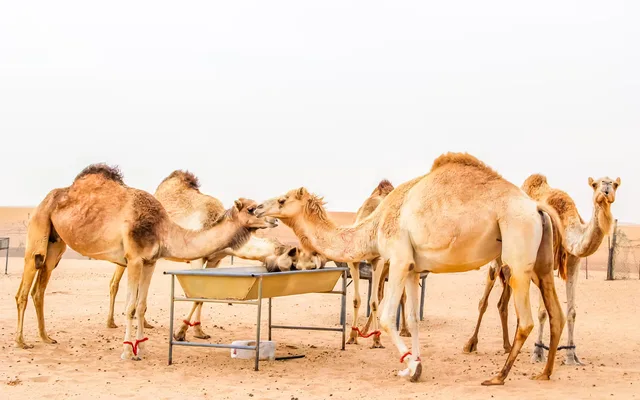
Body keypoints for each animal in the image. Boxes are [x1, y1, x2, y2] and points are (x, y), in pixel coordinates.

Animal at [15, 164, 271, 360]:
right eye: (252, 208)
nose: (272, 221)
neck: (162, 229)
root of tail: (46, 199)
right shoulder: (135, 259)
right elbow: (130, 307)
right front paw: (128, 352)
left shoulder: (150, 262)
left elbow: (141, 305)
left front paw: (143, 348)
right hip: (38, 231)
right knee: (24, 289)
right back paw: (21, 341)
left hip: (55, 245)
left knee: (39, 290)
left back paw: (46, 337)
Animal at [255, 152, 567, 385]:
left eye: (282, 200)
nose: (257, 208)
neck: (374, 225)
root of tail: (536, 207)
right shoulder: (413, 268)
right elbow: (414, 320)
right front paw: (416, 364)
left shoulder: (398, 259)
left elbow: (386, 317)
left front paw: (409, 367)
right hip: (541, 263)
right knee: (556, 313)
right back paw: (545, 373)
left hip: (517, 252)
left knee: (526, 320)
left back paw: (499, 376)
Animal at [463, 174, 620, 366]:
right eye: (595, 184)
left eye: (615, 184)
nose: (606, 188)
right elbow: (543, 312)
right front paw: (538, 353)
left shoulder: (573, 262)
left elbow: (572, 311)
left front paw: (571, 356)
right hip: (496, 259)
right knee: (484, 301)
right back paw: (471, 344)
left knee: (503, 303)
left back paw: (508, 346)